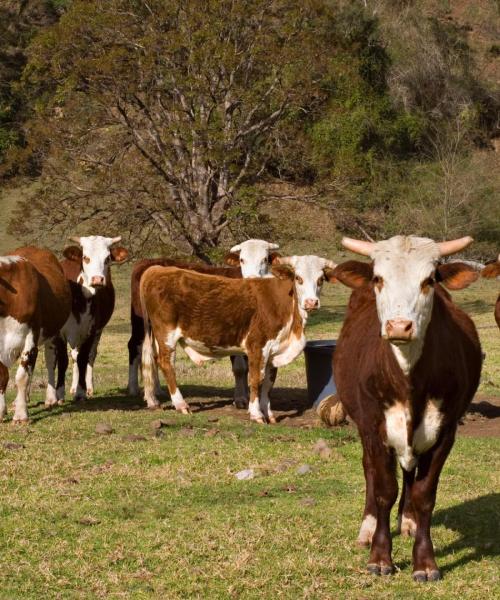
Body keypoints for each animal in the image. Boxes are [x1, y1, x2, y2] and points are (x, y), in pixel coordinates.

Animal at [0, 247, 71, 422]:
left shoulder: (30, 336)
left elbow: (22, 376)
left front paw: (21, 415)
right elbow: (2, 374)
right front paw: (2, 410)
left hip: (55, 332)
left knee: (52, 362)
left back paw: (52, 398)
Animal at [44, 234, 129, 408]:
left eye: (107, 258)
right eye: (86, 257)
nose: (97, 279)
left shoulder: (91, 330)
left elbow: (84, 359)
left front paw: (81, 391)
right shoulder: (60, 333)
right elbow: (63, 360)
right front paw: (60, 393)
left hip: (96, 333)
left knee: (88, 356)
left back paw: (86, 387)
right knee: (70, 357)